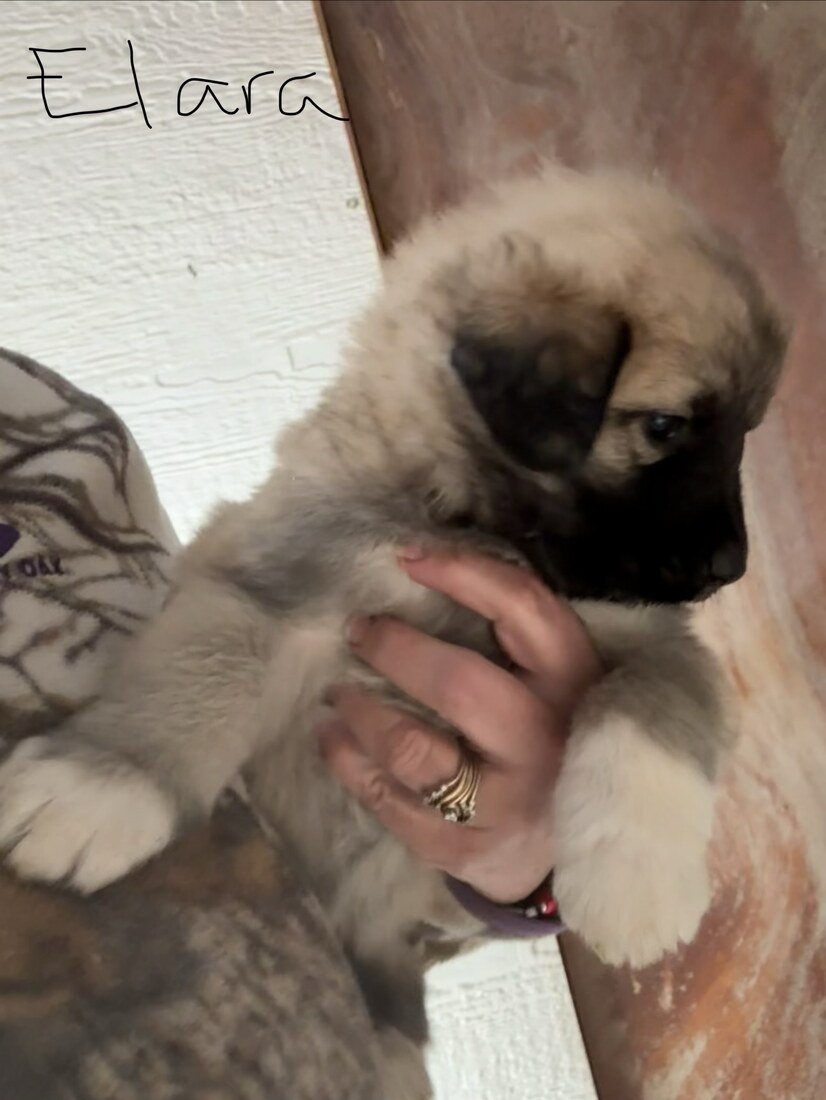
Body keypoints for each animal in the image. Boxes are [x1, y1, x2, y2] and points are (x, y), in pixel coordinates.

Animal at [0, 165, 786, 1097]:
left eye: (745, 433)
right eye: (666, 427)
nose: (729, 570)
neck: (475, 524)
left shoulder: (650, 640)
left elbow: (650, 709)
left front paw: (636, 880)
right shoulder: (275, 577)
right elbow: (199, 675)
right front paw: (103, 782)